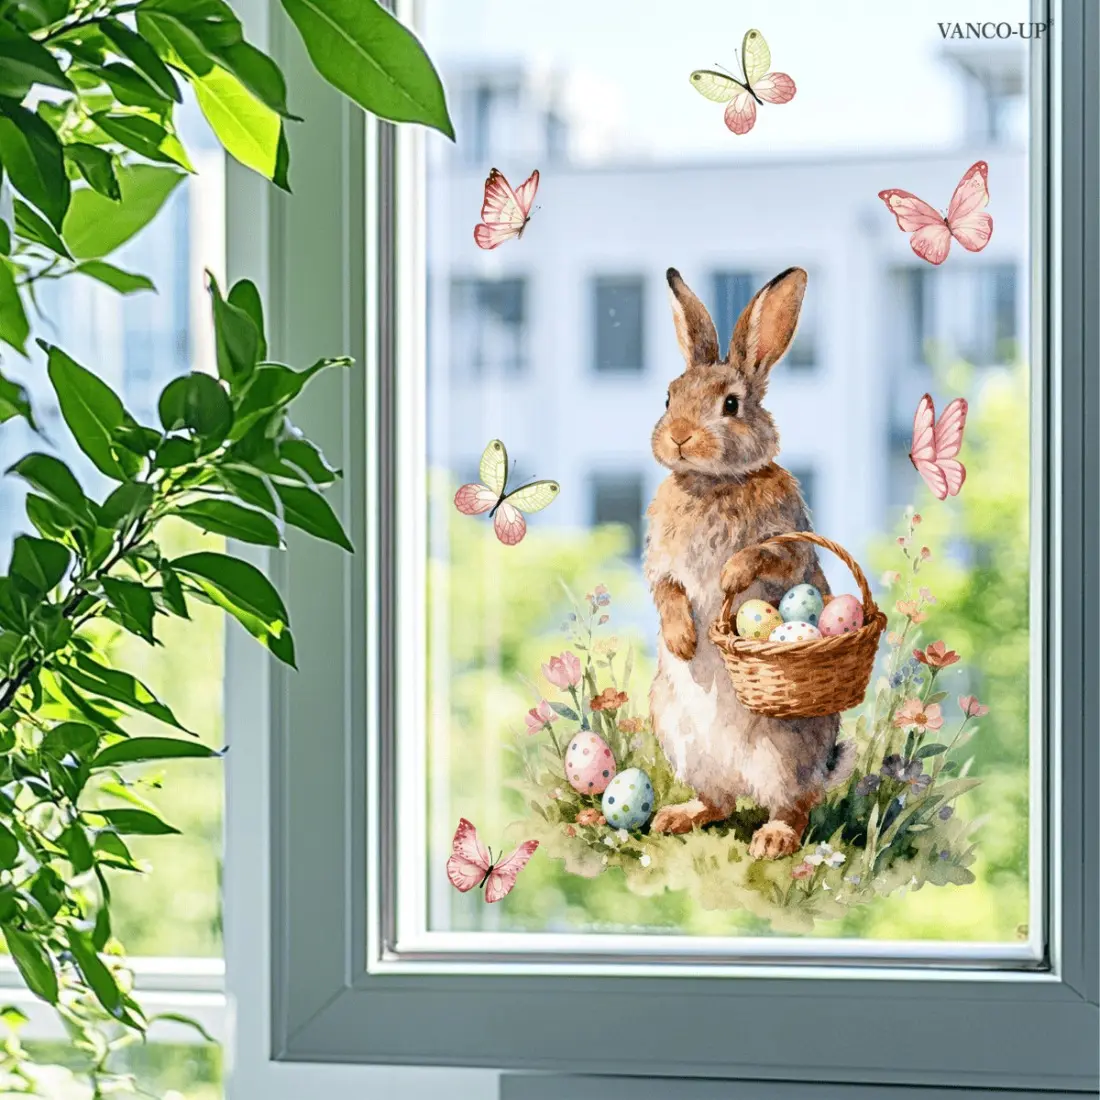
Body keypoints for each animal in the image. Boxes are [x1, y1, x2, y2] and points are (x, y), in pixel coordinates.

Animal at [644, 266, 849, 860]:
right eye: (668, 397)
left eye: (731, 405)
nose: (680, 437)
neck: (714, 483)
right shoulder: (659, 561)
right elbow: (665, 588)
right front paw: (683, 640)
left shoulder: (790, 545)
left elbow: (769, 558)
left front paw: (732, 575)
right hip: (679, 737)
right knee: (719, 804)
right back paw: (673, 817)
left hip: (785, 754)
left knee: (796, 806)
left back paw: (773, 840)